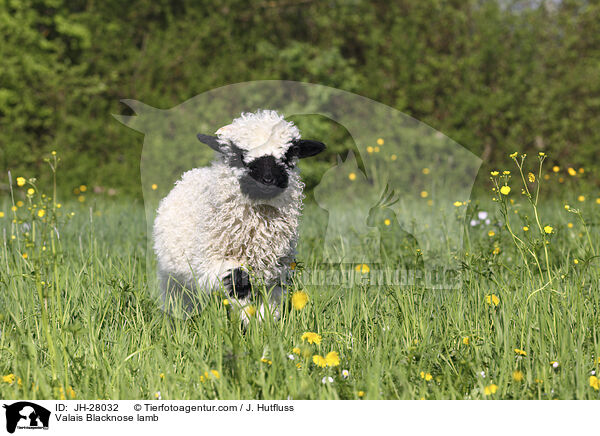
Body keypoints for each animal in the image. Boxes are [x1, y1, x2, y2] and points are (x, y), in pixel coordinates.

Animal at [152, 109, 326, 320]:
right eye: (239, 155)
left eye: (288, 156)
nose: (268, 180)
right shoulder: (213, 261)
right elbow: (238, 284)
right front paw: (247, 322)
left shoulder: (277, 269)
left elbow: (270, 304)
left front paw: (264, 325)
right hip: (173, 278)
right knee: (179, 303)